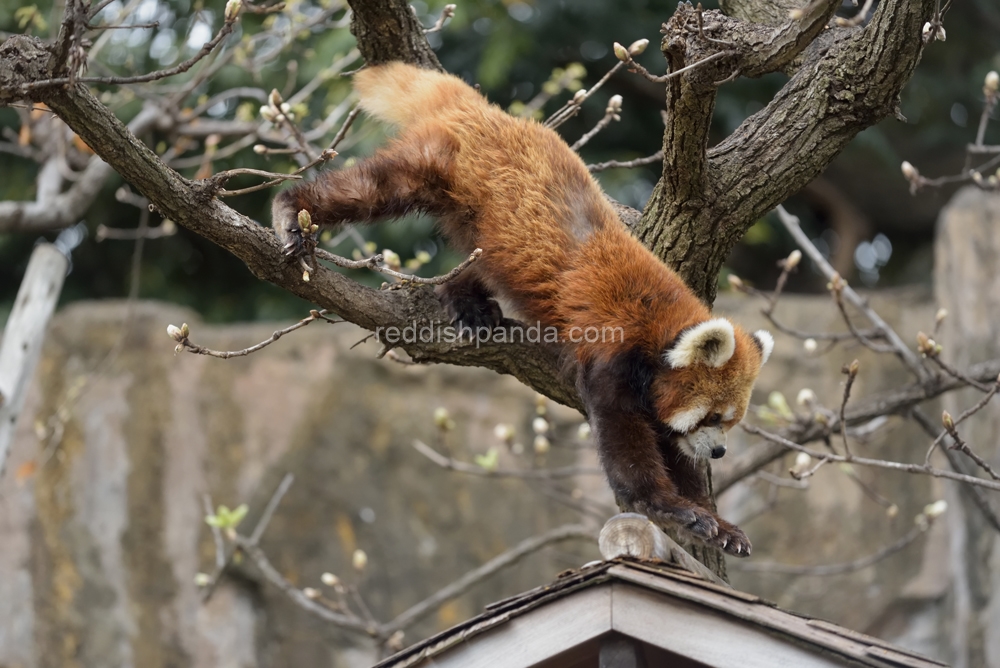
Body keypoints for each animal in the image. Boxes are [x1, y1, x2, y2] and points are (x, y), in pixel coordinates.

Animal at [274, 62, 772, 556]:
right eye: (713, 417)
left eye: (731, 421)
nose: (720, 452)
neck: (658, 326)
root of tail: (491, 112)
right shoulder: (613, 357)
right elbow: (626, 444)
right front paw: (669, 507)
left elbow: (674, 446)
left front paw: (715, 521)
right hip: (437, 166)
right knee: (370, 188)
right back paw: (291, 211)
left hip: (486, 232)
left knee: (478, 262)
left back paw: (467, 301)